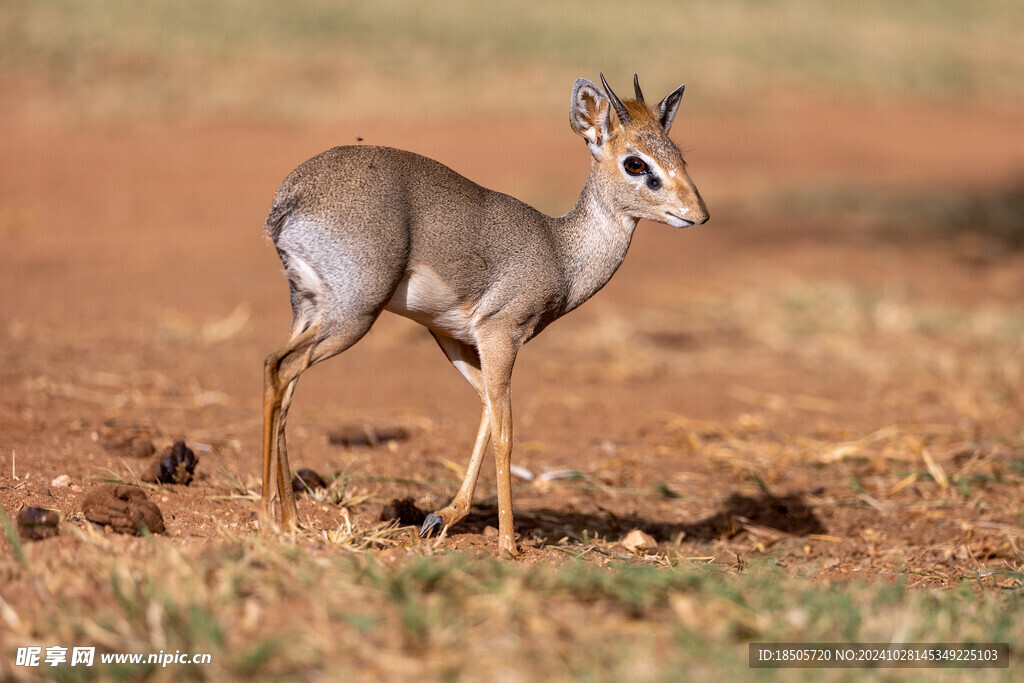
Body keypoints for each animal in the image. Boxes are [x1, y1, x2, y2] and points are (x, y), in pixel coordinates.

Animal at [264, 74, 708, 557]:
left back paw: (289, 520)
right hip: (352, 317)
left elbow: (486, 415)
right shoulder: (501, 335)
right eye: (636, 164)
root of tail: (292, 196)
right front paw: (508, 545)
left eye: (678, 154)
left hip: (308, 310)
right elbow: (506, 434)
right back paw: (269, 519)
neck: (561, 252)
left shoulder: (456, 338)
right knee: (277, 366)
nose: (698, 214)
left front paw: (443, 516)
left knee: (285, 384)